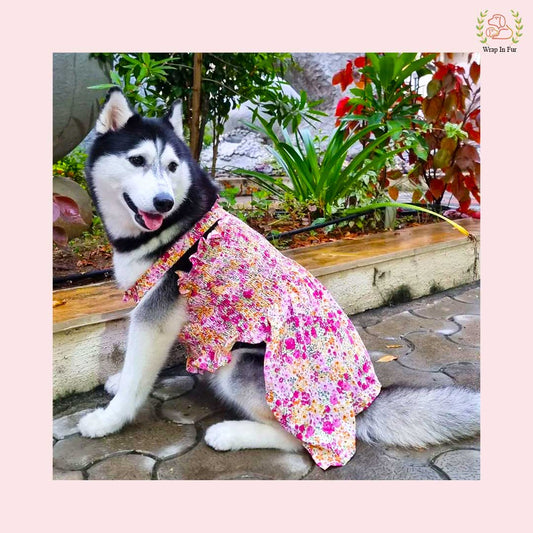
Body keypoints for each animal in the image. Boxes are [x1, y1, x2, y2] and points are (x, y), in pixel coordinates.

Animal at [78, 89, 478, 464]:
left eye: (172, 165)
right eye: (137, 160)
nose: (164, 202)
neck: (173, 226)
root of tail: (360, 406)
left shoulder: (158, 312)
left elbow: (137, 375)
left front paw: (108, 420)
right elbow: (137, 365)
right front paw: (119, 381)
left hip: (242, 366)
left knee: (300, 440)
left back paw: (229, 433)